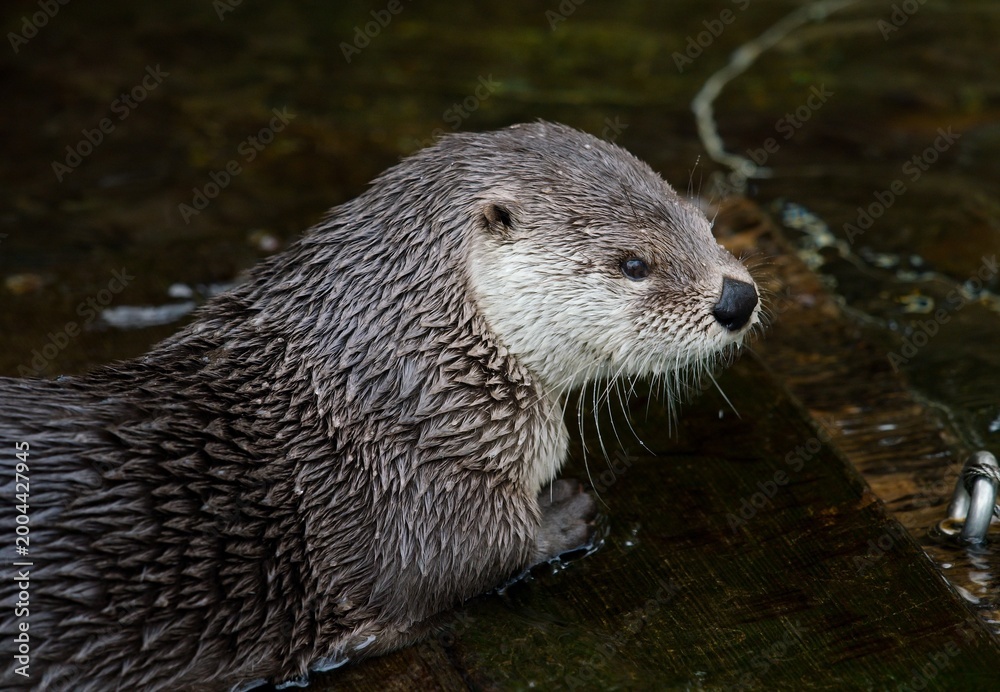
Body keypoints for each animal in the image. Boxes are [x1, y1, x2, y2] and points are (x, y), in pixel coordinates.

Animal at [0, 122, 759, 690]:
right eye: (634, 264)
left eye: (703, 223)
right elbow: (472, 561)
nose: (737, 297)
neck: (403, 400)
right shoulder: (416, 492)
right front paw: (565, 512)